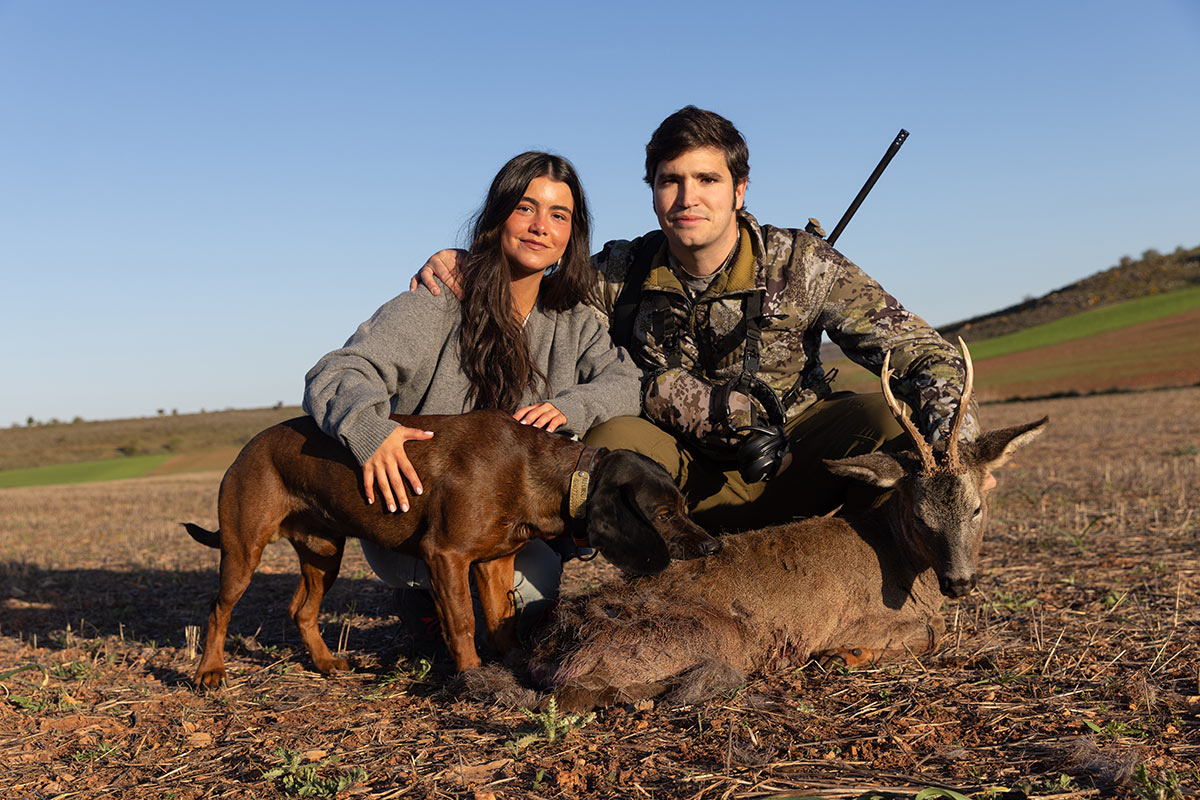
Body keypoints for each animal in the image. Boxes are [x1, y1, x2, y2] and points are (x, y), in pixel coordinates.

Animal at [182, 410, 715, 686]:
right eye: (664, 515)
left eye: (683, 506)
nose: (712, 548)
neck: (541, 472)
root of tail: (246, 449)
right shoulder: (447, 557)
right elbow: (462, 622)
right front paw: (471, 676)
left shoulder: (495, 562)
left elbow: (501, 621)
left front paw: (511, 664)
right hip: (242, 551)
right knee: (216, 610)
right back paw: (209, 671)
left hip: (324, 552)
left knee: (301, 610)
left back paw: (326, 662)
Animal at [537, 340, 1051, 710]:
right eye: (919, 515)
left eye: (977, 508)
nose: (959, 582)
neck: (903, 564)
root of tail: (559, 639)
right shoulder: (855, 619)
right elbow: (932, 632)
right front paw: (846, 655)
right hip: (717, 636)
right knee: (580, 692)